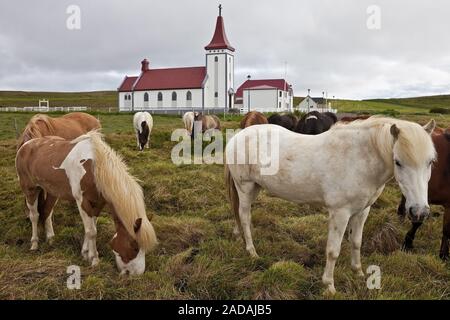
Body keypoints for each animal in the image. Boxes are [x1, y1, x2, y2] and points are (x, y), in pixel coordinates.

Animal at [15, 131, 157, 274]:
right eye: (135, 247)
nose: (137, 274)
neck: (95, 168)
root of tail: (25, 145)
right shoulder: (82, 201)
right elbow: (92, 231)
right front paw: (94, 260)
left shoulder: (97, 203)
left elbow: (90, 227)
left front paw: (85, 253)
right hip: (30, 190)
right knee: (34, 216)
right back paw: (34, 243)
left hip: (51, 192)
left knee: (47, 212)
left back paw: (50, 238)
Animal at [225, 116, 436, 294]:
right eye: (398, 162)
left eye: (431, 162)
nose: (419, 212)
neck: (358, 159)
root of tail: (237, 136)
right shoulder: (340, 213)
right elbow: (333, 251)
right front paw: (329, 286)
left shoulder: (362, 211)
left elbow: (356, 242)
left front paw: (358, 273)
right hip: (245, 187)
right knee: (244, 217)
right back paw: (252, 252)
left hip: (255, 188)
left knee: (238, 214)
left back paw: (238, 237)